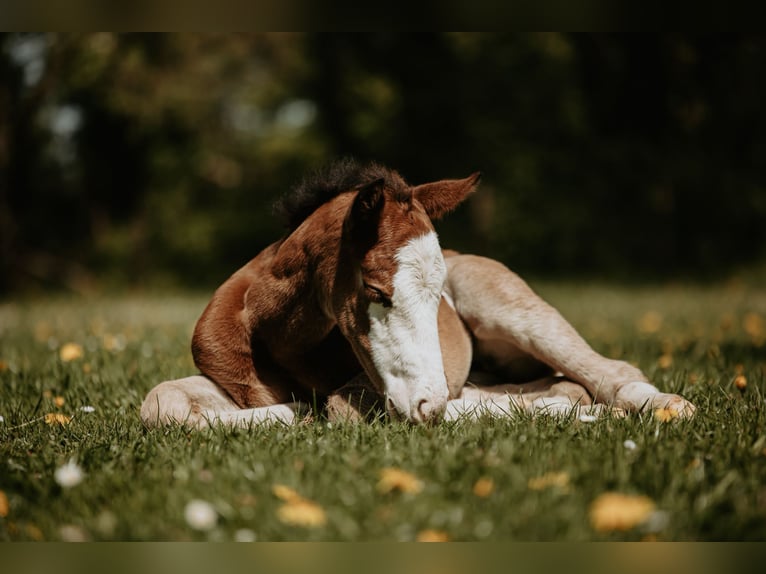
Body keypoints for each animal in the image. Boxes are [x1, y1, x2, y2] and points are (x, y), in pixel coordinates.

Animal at [140, 159, 695, 428]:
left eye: (438, 299)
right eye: (373, 288)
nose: (429, 401)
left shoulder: (378, 391)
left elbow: (339, 409)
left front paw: (307, 414)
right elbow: (161, 404)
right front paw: (291, 414)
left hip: (513, 311)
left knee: (607, 371)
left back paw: (662, 407)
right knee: (557, 385)